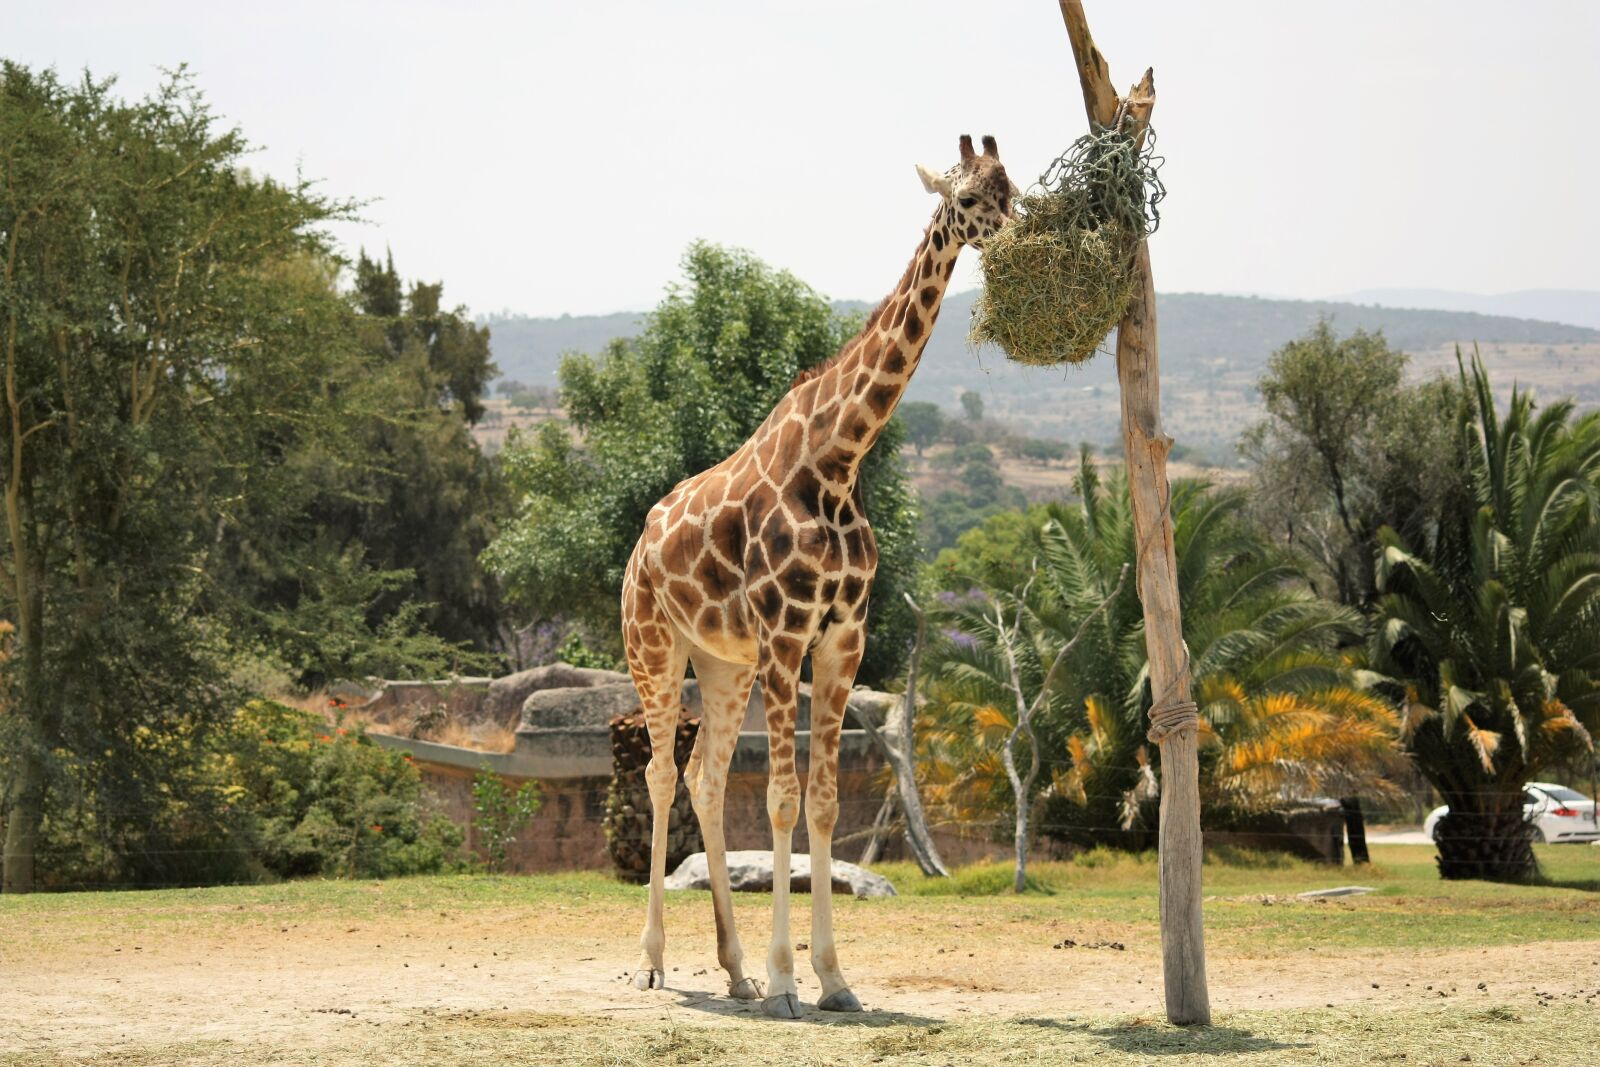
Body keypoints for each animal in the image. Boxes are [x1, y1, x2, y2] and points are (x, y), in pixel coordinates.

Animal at [621, 134, 1017, 1019]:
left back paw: (730, 970)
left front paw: (832, 979)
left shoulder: (841, 637)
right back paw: (655, 962)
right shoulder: (786, 634)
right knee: (662, 773)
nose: (1017, 239)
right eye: (968, 197)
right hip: (654, 646)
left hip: (722, 662)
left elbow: (827, 802)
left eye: (1015, 189)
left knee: (704, 778)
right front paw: (784, 981)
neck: (838, 459)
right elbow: (781, 797)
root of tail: (639, 544)